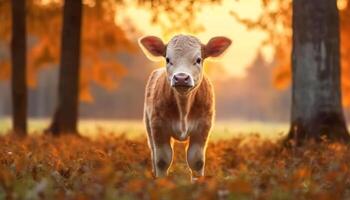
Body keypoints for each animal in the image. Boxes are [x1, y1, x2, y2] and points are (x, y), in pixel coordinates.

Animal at [138, 34, 231, 178]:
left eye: (198, 59)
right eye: (168, 59)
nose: (181, 78)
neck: (183, 108)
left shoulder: (203, 127)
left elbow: (196, 161)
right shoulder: (158, 126)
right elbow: (162, 161)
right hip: (148, 125)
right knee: (153, 154)